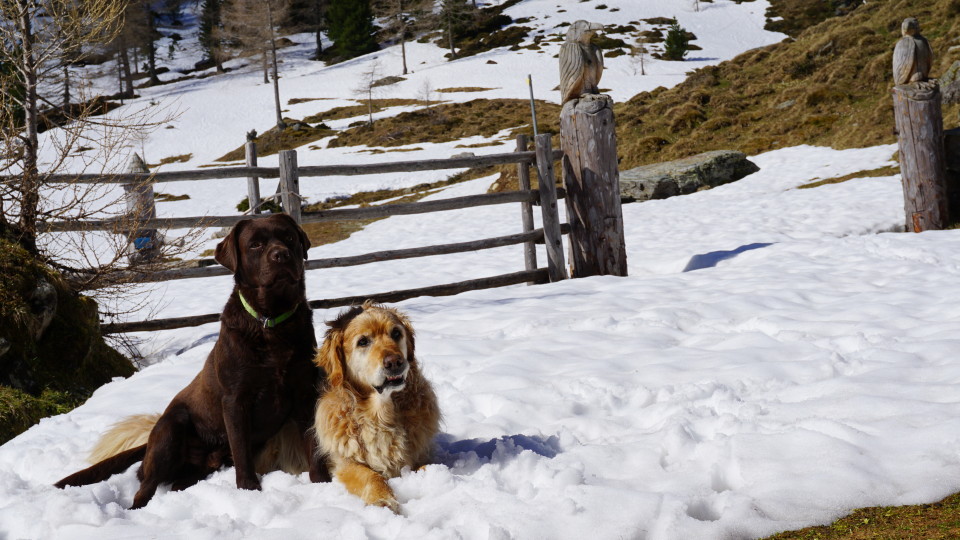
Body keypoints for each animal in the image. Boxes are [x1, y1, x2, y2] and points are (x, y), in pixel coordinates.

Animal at [55, 213, 330, 508]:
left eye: (289, 237)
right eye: (255, 244)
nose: (281, 255)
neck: (271, 323)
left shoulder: (304, 392)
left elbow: (313, 444)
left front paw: (322, 482)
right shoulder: (236, 400)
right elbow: (242, 453)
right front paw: (248, 490)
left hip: (195, 469)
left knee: (178, 483)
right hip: (171, 430)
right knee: (145, 487)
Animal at [314, 302, 440, 512]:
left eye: (396, 333)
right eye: (363, 341)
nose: (394, 362)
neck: (381, 413)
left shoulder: (421, 453)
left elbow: (426, 466)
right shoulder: (345, 462)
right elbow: (370, 476)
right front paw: (382, 498)